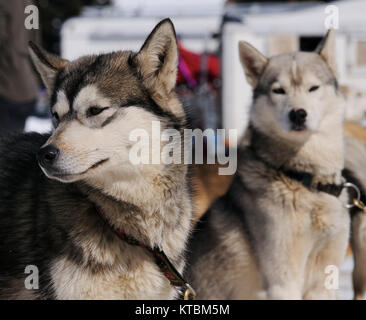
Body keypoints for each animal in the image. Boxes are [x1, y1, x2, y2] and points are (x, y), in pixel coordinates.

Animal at [187, 31, 350, 298]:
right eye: (279, 91)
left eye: (313, 88)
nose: (298, 113)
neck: (304, 179)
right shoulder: (283, 281)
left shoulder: (324, 280)